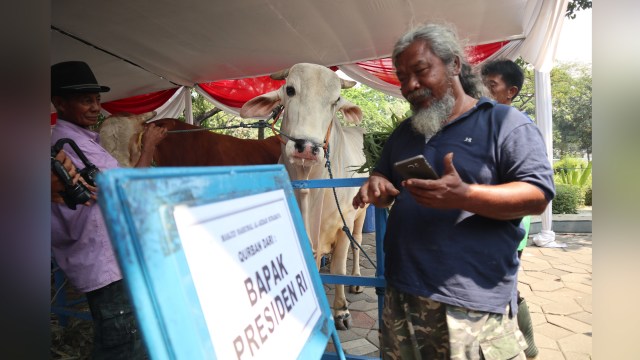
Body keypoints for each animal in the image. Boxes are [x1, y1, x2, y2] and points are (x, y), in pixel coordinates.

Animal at [241, 63, 370, 330]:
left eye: (335, 101)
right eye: (290, 89)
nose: (307, 148)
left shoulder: (343, 221)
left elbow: (338, 267)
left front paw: (341, 311)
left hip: (362, 212)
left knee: (357, 243)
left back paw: (356, 280)